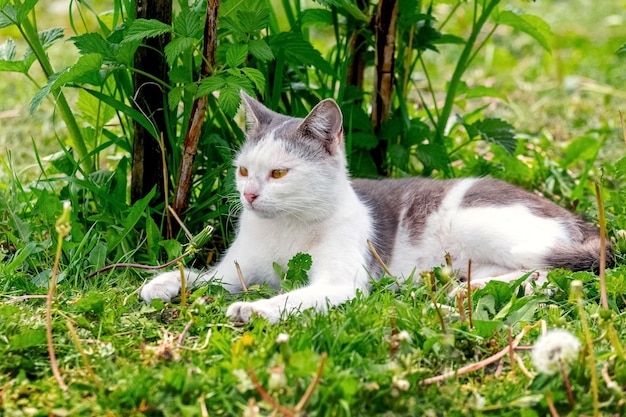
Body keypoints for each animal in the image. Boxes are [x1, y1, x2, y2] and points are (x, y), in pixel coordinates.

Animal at [140, 92, 608, 324]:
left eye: (278, 173)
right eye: (242, 170)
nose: (249, 195)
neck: (285, 229)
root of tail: (578, 221)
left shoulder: (341, 284)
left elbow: (294, 297)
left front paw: (255, 309)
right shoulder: (233, 271)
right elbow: (202, 276)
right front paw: (161, 283)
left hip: (482, 223)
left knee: (549, 274)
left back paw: (468, 290)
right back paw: (458, 286)